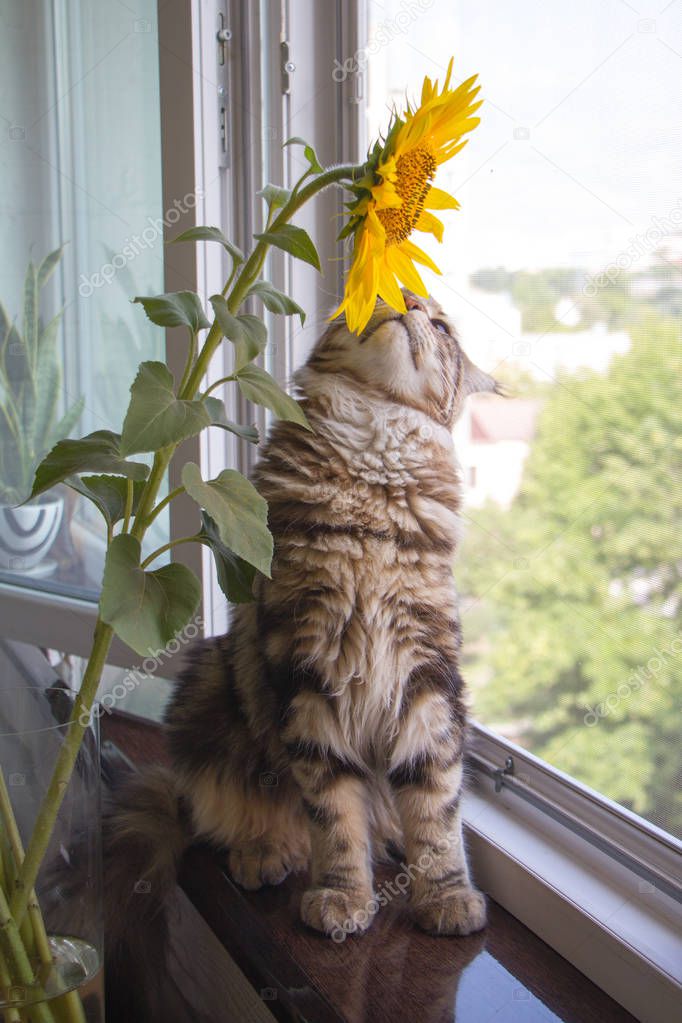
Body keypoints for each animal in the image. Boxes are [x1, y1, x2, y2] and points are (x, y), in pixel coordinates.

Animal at [109, 290, 498, 1006]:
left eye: (441, 327)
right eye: (405, 300)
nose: (409, 302)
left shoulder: (428, 675)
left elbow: (437, 811)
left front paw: (446, 898)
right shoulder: (308, 669)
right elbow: (334, 814)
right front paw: (343, 899)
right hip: (211, 686)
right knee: (239, 815)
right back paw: (266, 854)